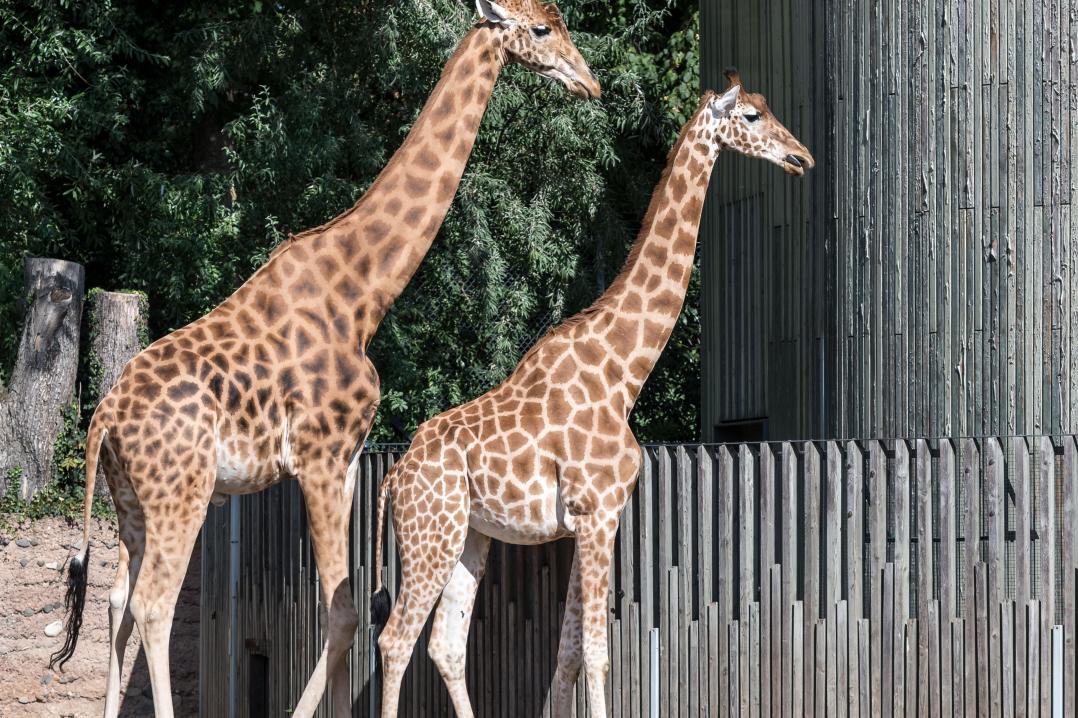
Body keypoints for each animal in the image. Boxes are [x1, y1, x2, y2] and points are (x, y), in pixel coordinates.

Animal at [48, 3, 599, 716]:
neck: (363, 292)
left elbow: (345, 606)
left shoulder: (344, 462)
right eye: (540, 30)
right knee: (153, 605)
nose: (589, 83)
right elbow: (341, 611)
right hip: (183, 493)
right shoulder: (321, 454)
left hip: (129, 500)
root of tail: (103, 417)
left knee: (117, 600)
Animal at [369, 69, 814, 718]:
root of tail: (393, 477)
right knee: (395, 639)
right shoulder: (598, 511)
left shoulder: (588, 519)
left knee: (445, 642)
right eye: (752, 116)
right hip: (432, 533)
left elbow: (570, 655)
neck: (623, 369)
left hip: (470, 534)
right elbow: (599, 655)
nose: (801, 157)